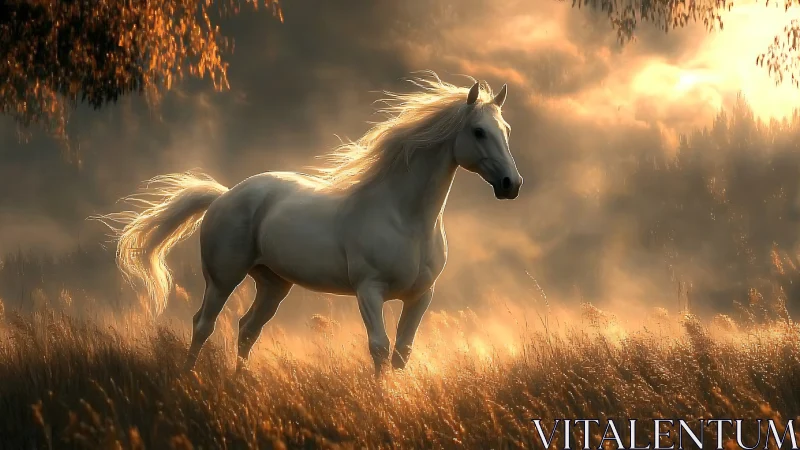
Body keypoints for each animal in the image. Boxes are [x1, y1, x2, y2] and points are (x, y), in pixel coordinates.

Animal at [95, 74, 523, 375]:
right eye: (479, 131)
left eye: (506, 131)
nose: (511, 184)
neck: (406, 218)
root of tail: (223, 196)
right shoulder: (369, 291)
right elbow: (380, 349)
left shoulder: (422, 296)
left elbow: (402, 353)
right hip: (222, 278)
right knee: (204, 324)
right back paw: (188, 378)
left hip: (273, 284)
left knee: (247, 329)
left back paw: (238, 384)